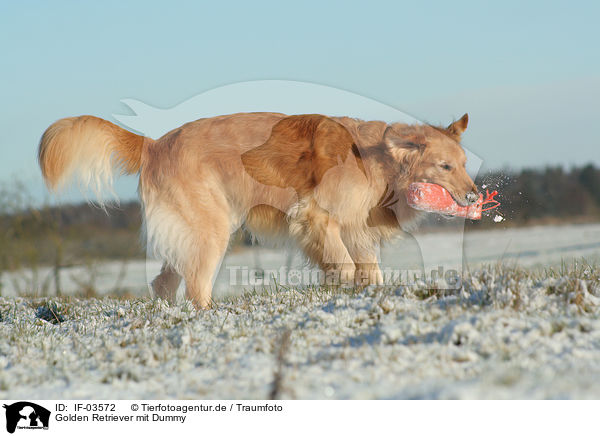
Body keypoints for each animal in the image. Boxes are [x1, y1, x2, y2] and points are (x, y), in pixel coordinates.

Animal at [37, 113, 478, 310]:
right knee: (195, 287)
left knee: (163, 283)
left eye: (463, 162)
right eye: (445, 166)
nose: (475, 197)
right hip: (212, 231)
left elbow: (371, 272)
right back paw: (208, 317)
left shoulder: (357, 231)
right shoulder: (315, 218)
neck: (376, 159)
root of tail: (153, 143)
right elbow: (344, 266)